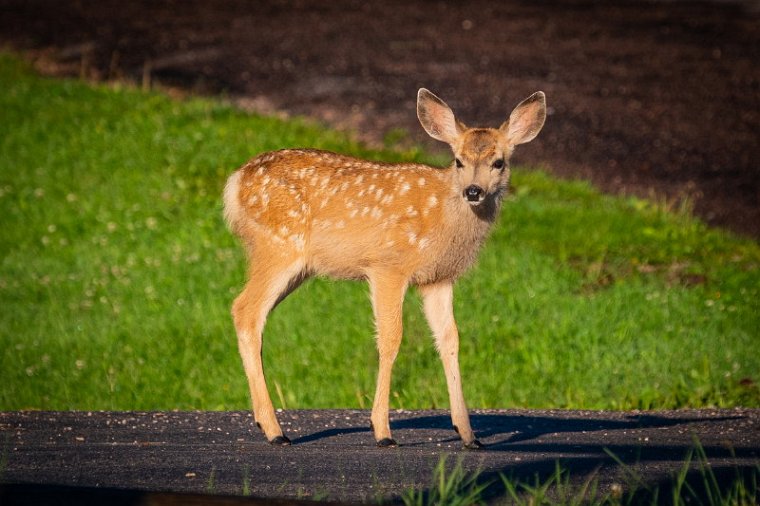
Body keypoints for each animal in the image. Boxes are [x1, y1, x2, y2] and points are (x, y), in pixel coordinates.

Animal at [221, 88, 548, 450]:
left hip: (295, 265)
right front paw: (383, 431)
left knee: (247, 311)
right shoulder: (388, 266)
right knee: (246, 309)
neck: (444, 218)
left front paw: (468, 434)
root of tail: (235, 181)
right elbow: (391, 338)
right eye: (458, 160)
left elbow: (449, 339)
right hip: (279, 245)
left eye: (498, 162)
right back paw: (276, 430)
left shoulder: (438, 278)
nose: (473, 191)